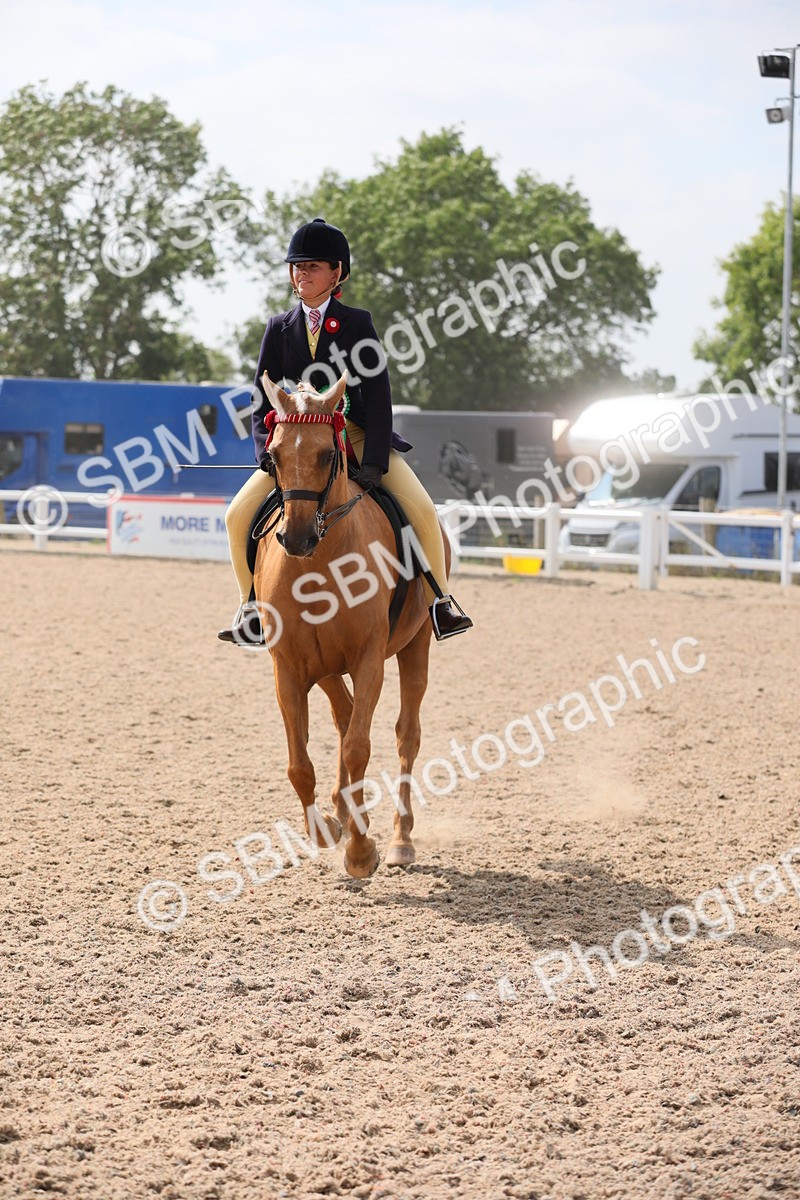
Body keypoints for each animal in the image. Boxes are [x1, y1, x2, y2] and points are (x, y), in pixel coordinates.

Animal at [253, 371, 449, 878]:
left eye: (327, 454)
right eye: (274, 455)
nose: (296, 538)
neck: (319, 564)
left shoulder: (368, 660)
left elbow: (360, 747)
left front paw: (362, 852)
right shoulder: (288, 666)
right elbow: (300, 763)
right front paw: (325, 829)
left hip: (416, 644)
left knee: (405, 734)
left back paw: (401, 841)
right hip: (323, 665)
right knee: (342, 718)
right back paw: (343, 811)